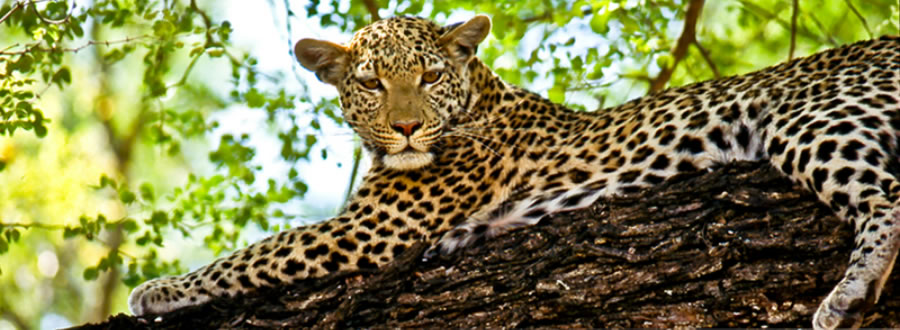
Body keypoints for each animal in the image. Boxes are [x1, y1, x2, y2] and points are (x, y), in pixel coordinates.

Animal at [126, 14, 900, 328]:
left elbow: (258, 250)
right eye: (372, 83)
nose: (406, 127)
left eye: (429, 76)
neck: (477, 96)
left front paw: (158, 289)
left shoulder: (372, 227)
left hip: (809, 118)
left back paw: (849, 296)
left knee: (886, 196)